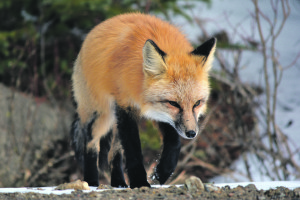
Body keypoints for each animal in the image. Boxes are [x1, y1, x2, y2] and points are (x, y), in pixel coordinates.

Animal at [70, 13, 216, 188]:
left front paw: (162, 173)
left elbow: (174, 143)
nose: (191, 133)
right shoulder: (125, 106)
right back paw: (91, 181)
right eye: (173, 103)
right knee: (91, 144)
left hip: (114, 121)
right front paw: (140, 182)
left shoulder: (160, 114)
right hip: (102, 114)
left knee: (114, 153)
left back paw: (118, 182)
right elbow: (133, 149)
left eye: (197, 103)